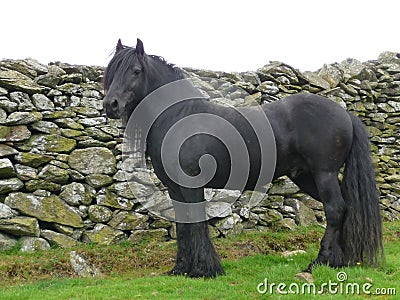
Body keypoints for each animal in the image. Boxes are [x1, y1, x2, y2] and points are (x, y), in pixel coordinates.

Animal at [103, 38, 384, 278]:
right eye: (112, 71)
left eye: (136, 70)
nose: (110, 105)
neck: (180, 117)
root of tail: (345, 114)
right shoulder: (175, 188)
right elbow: (183, 225)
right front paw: (181, 269)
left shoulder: (192, 186)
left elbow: (196, 223)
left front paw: (204, 270)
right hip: (306, 177)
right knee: (344, 207)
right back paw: (339, 261)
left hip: (323, 174)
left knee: (335, 209)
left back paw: (319, 262)